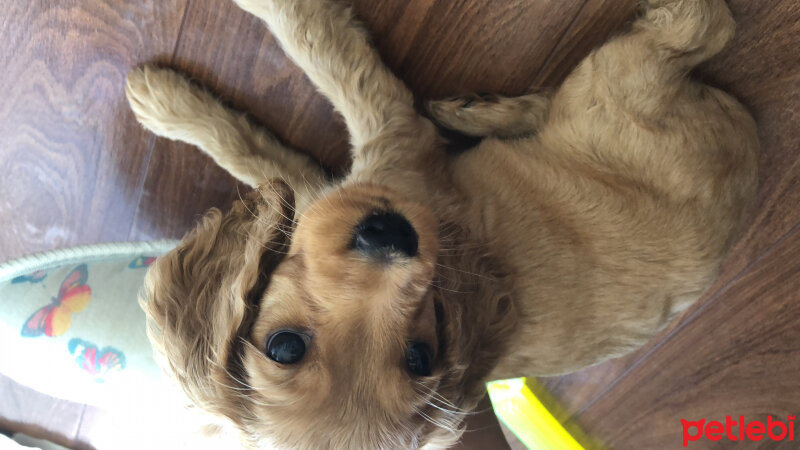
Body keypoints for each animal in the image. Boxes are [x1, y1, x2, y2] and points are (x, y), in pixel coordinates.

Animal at [123, 0, 756, 446]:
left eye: (418, 357)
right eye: (284, 347)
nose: (391, 233)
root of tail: (750, 152)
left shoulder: (392, 140)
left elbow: (319, 49)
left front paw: (167, 99)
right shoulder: (346, 185)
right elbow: (268, 157)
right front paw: (172, 105)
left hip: (612, 86)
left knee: (703, 25)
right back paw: (483, 112)